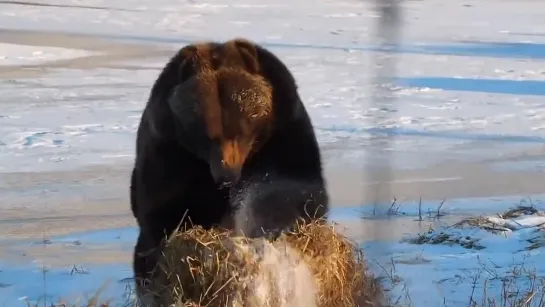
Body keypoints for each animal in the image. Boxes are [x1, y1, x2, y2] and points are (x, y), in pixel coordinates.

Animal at [130, 37, 330, 304]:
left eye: (241, 129)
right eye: (206, 135)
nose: (227, 175)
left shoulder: (282, 134)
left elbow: (287, 189)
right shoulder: (170, 149)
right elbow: (164, 208)